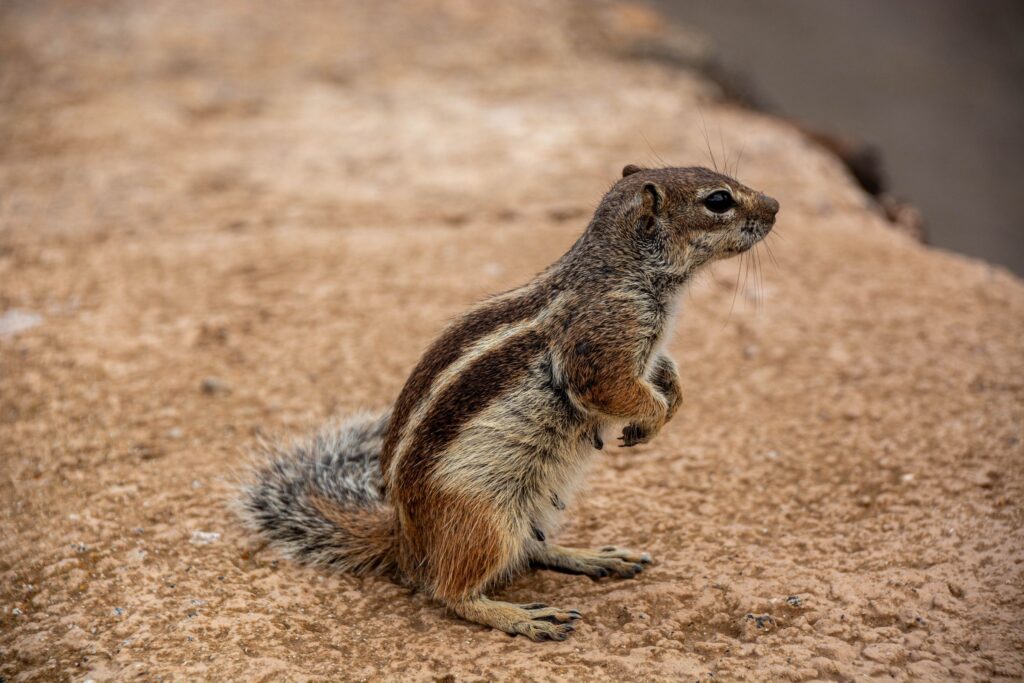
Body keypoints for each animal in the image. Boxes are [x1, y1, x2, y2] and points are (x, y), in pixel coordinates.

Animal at [238, 164, 779, 641]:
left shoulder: (644, 349)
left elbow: (663, 370)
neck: (621, 269)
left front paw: (673, 396)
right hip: (484, 519)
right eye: (718, 201)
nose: (775, 205)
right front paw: (654, 418)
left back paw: (592, 556)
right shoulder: (604, 342)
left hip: (541, 502)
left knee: (531, 549)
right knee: (451, 591)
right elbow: (613, 388)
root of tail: (406, 541)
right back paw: (521, 616)